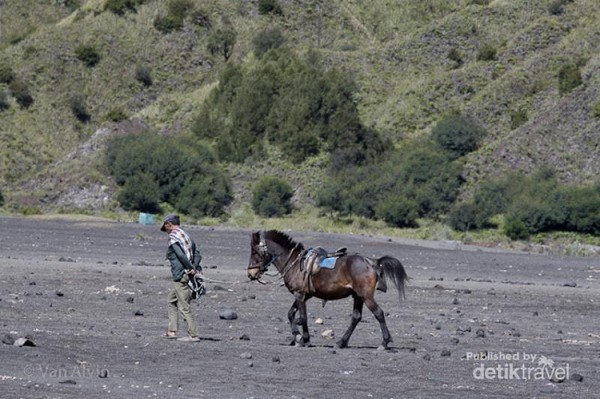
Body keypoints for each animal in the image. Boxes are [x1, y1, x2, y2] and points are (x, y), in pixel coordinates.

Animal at [246, 231, 410, 350]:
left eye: (254, 252)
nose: (250, 274)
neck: (294, 263)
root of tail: (372, 262)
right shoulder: (304, 295)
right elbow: (291, 314)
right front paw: (297, 337)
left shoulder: (300, 295)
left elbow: (303, 317)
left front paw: (304, 339)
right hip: (358, 296)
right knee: (356, 317)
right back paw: (341, 342)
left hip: (366, 296)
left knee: (379, 314)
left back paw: (384, 343)